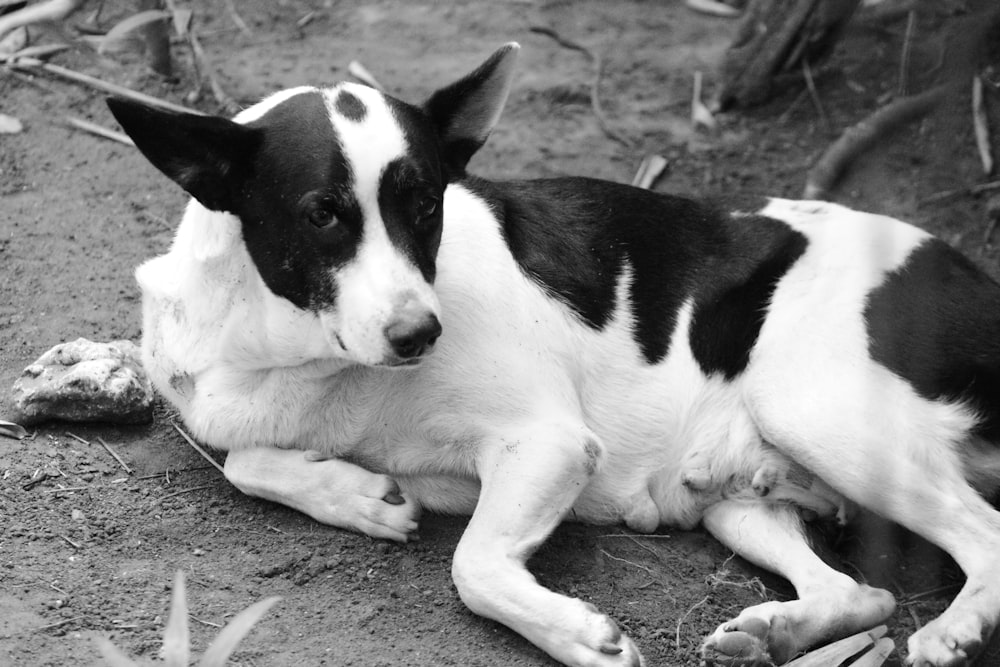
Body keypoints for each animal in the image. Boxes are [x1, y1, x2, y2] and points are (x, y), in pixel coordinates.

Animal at [109, 44, 1000, 664]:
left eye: (425, 205)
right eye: (322, 213)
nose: (419, 335)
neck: (306, 359)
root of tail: (973, 276)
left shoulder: (550, 442)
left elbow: (474, 565)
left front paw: (578, 634)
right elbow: (243, 462)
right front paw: (359, 495)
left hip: (814, 407)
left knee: (982, 535)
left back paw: (953, 629)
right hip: (737, 495)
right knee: (860, 590)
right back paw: (775, 632)